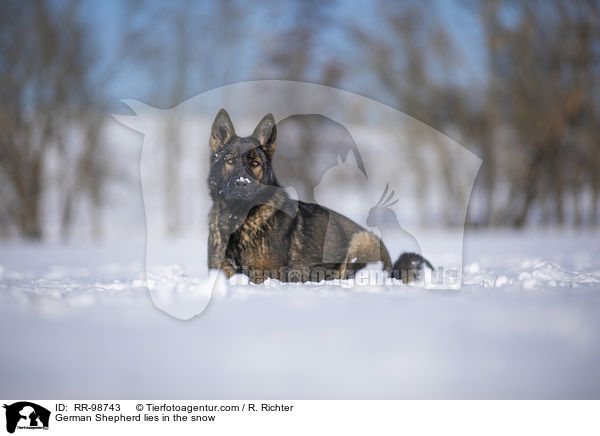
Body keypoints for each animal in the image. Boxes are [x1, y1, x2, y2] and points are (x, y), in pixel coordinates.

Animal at [207, 110, 432, 282]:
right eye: (229, 160)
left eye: (255, 163)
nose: (241, 183)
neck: (238, 219)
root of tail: (392, 268)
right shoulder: (221, 270)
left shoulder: (264, 275)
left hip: (361, 240)